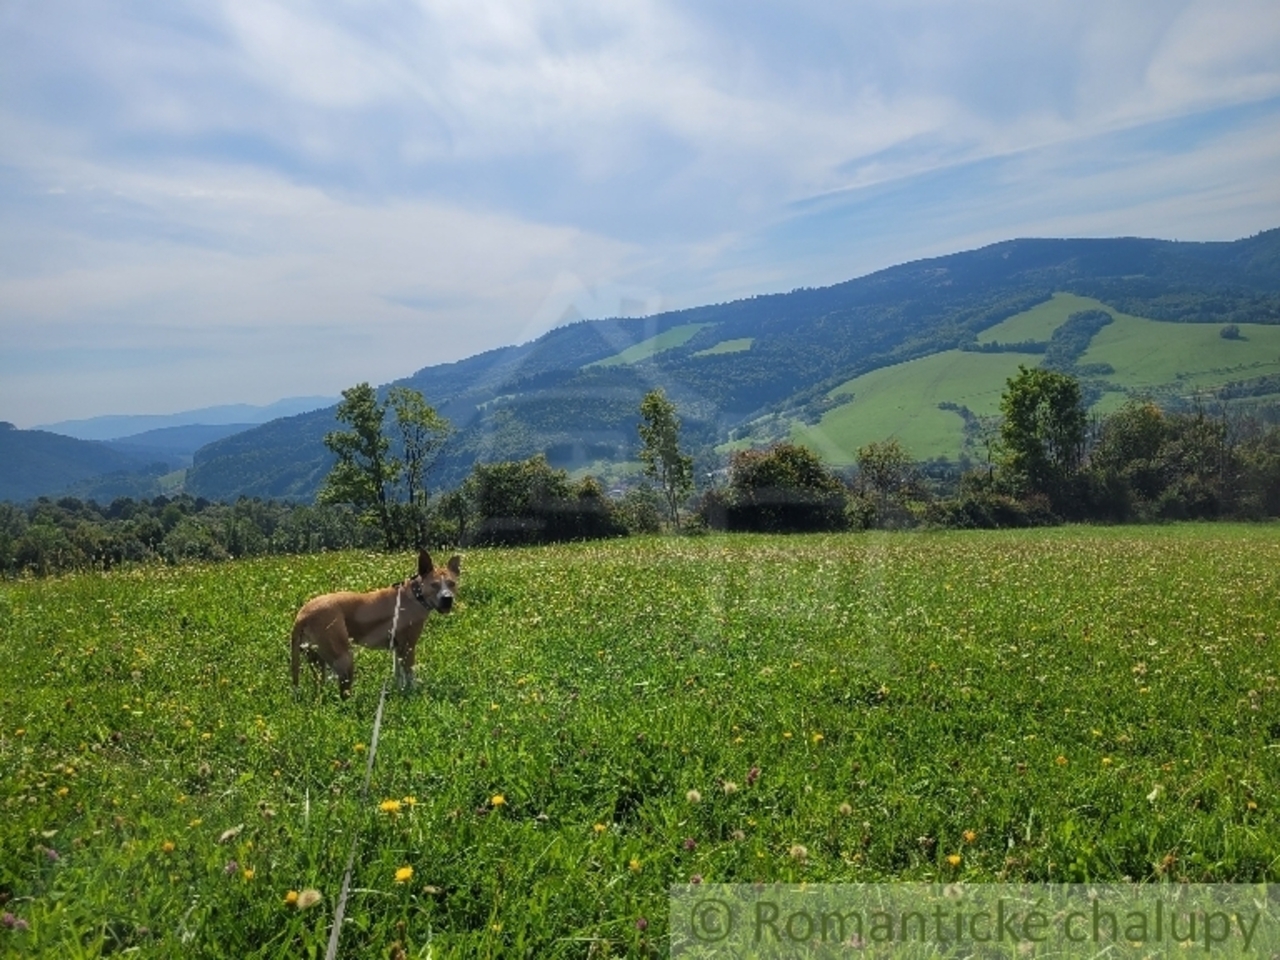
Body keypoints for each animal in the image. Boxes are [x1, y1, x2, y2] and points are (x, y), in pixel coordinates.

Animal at [290, 547, 460, 701]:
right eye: (434, 585)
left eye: (452, 583)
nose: (447, 598)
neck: (416, 595)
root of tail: (302, 615)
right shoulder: (408, 647)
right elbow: (410, 675)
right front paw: (414, 693)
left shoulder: (398, 648)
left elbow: (398, 674)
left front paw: (400, 692)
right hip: (344, 658)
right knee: (344, 695)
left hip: (317, 660)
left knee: (320, 686)